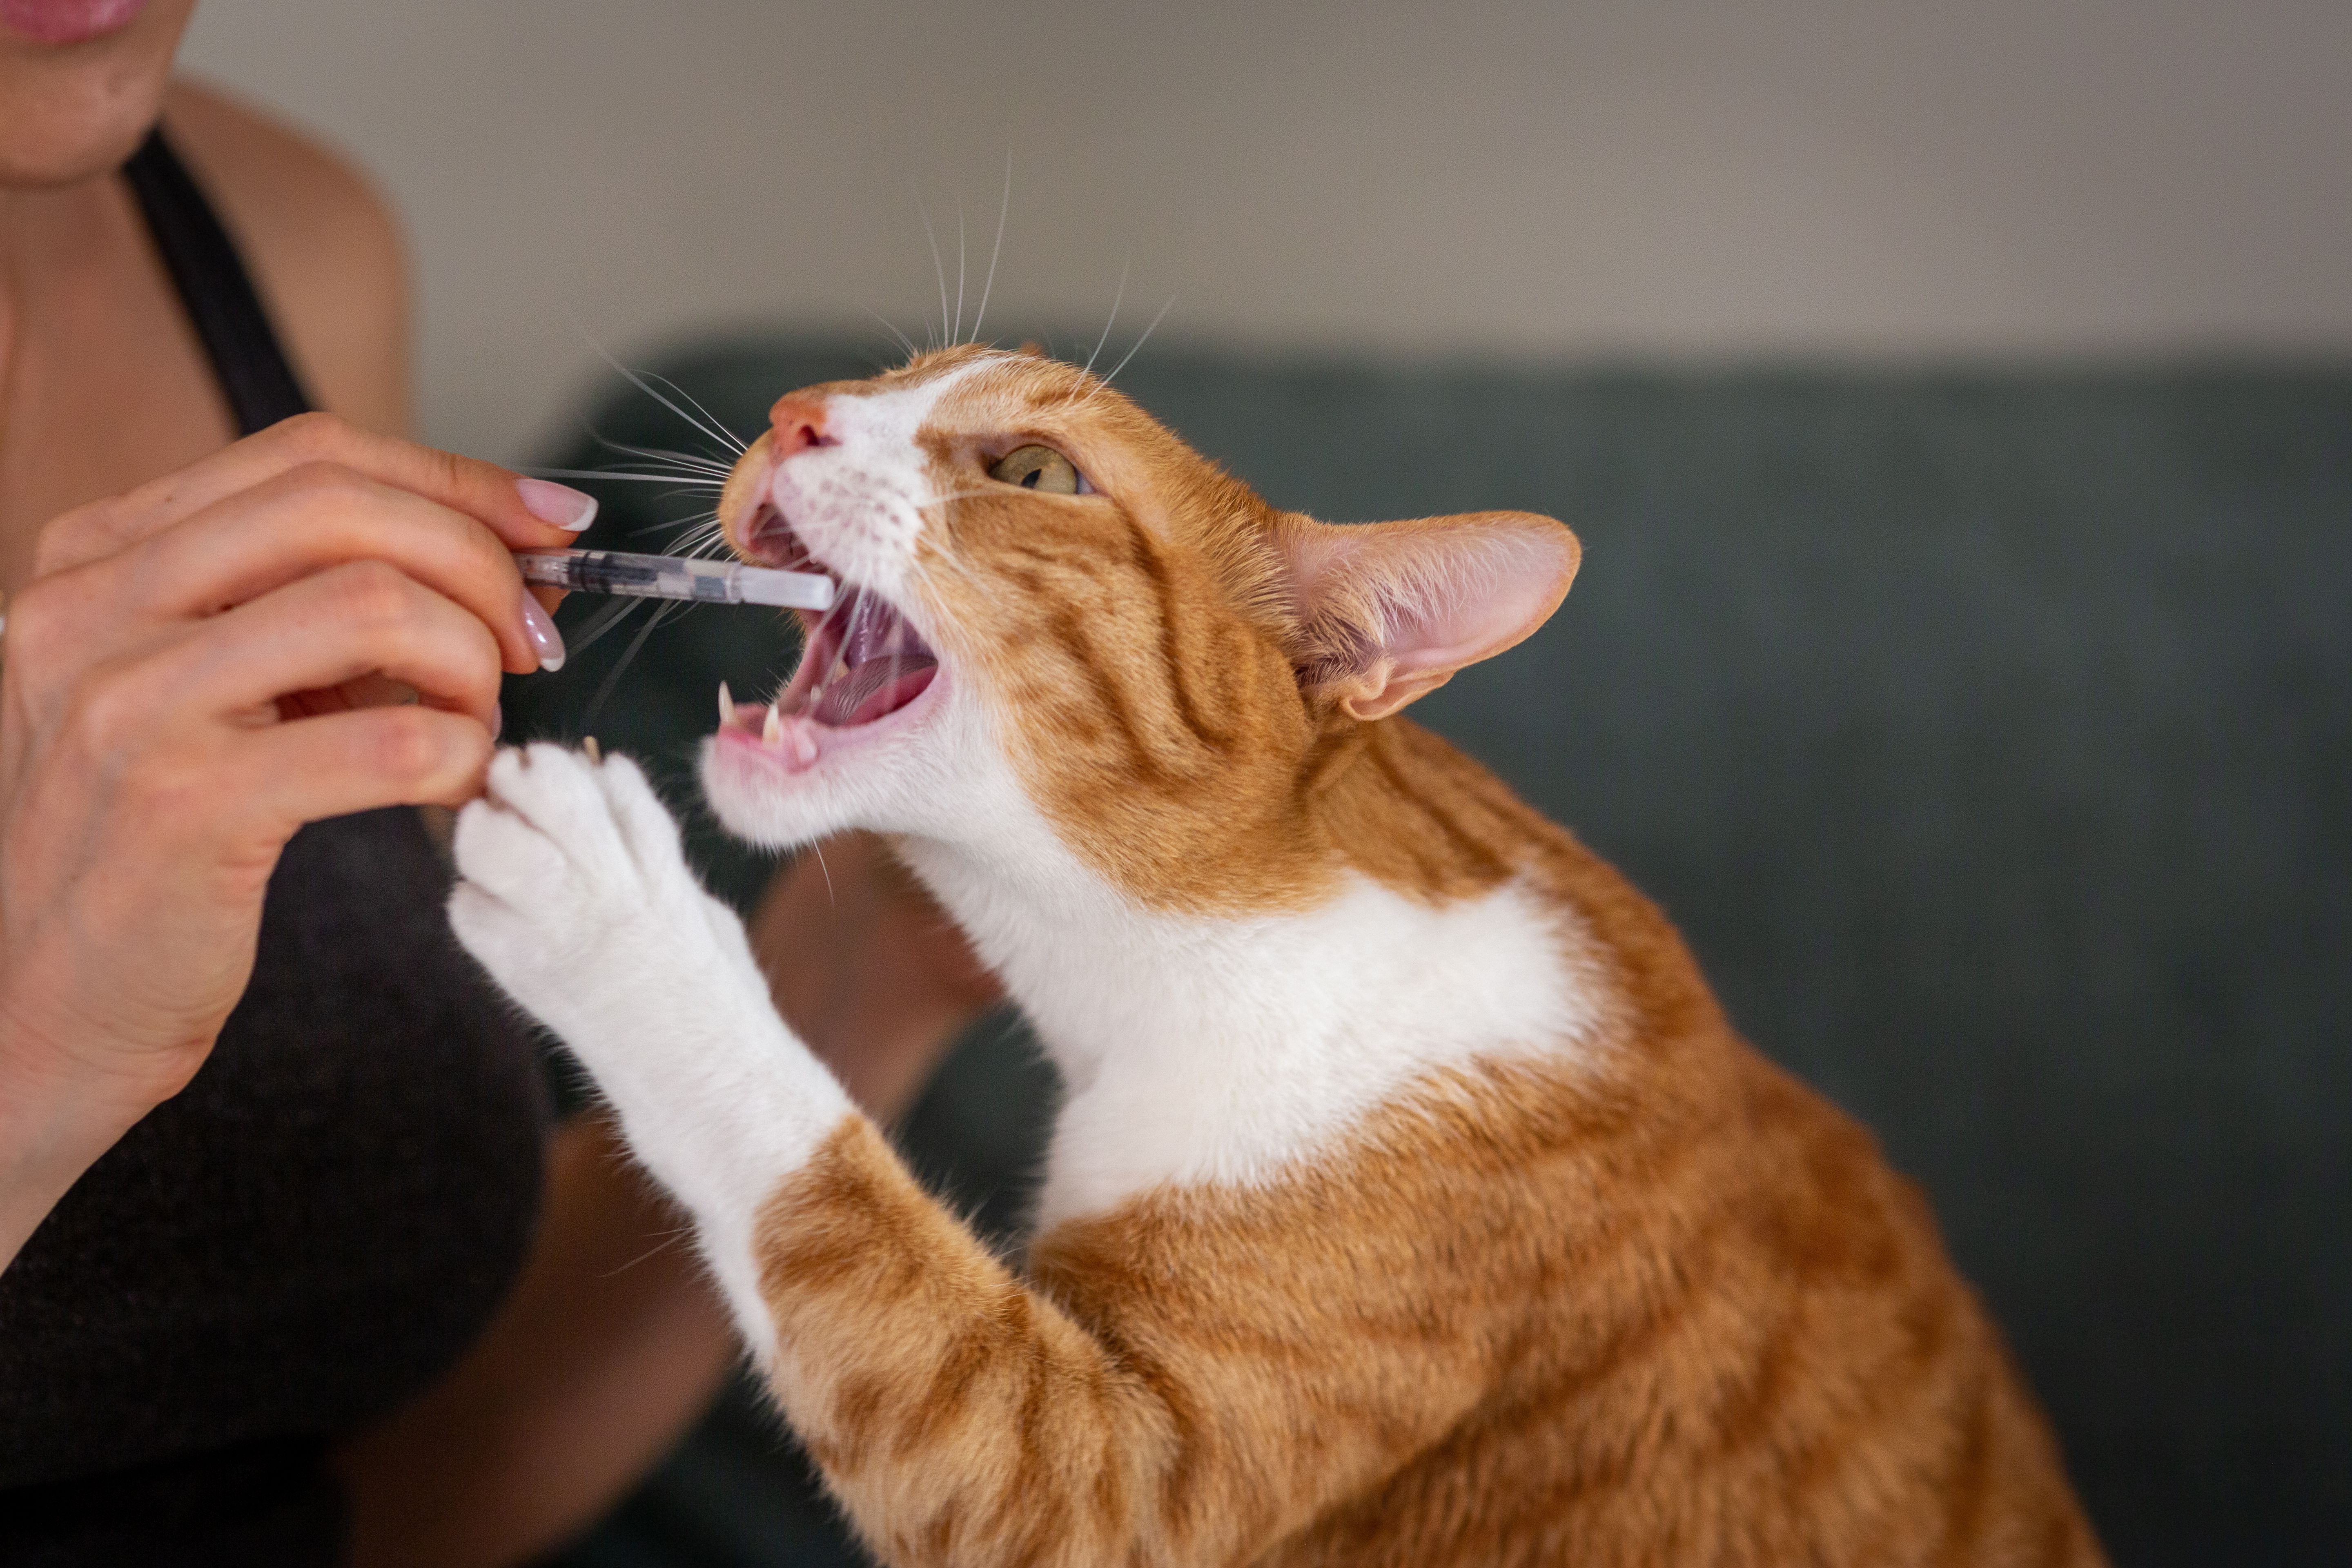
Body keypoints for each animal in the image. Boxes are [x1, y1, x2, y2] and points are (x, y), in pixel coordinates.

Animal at [449, 345, 2107, 1568]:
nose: (796, 409)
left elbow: (828, 1200)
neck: (1195, 958)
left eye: (1033, 474)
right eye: (882, 376)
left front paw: (615, 911)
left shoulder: (1102, 1487)